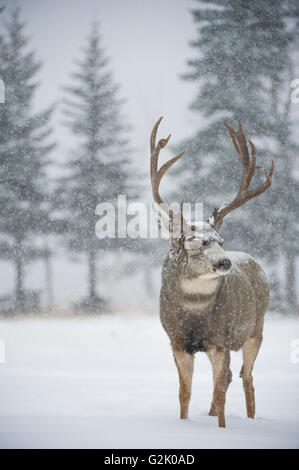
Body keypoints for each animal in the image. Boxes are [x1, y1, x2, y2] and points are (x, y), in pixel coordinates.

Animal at [151, 116, 276, 426]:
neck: (194, 316)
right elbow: (184, 393)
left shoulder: (222, 339)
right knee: (233, 376)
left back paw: (251, 418)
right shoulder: (177, 342)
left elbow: (220, 394)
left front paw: (221, 429)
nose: (225, 262)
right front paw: (185, 423)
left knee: (246, 376)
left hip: (256, 328)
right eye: (194, 243)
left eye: (221, 241)